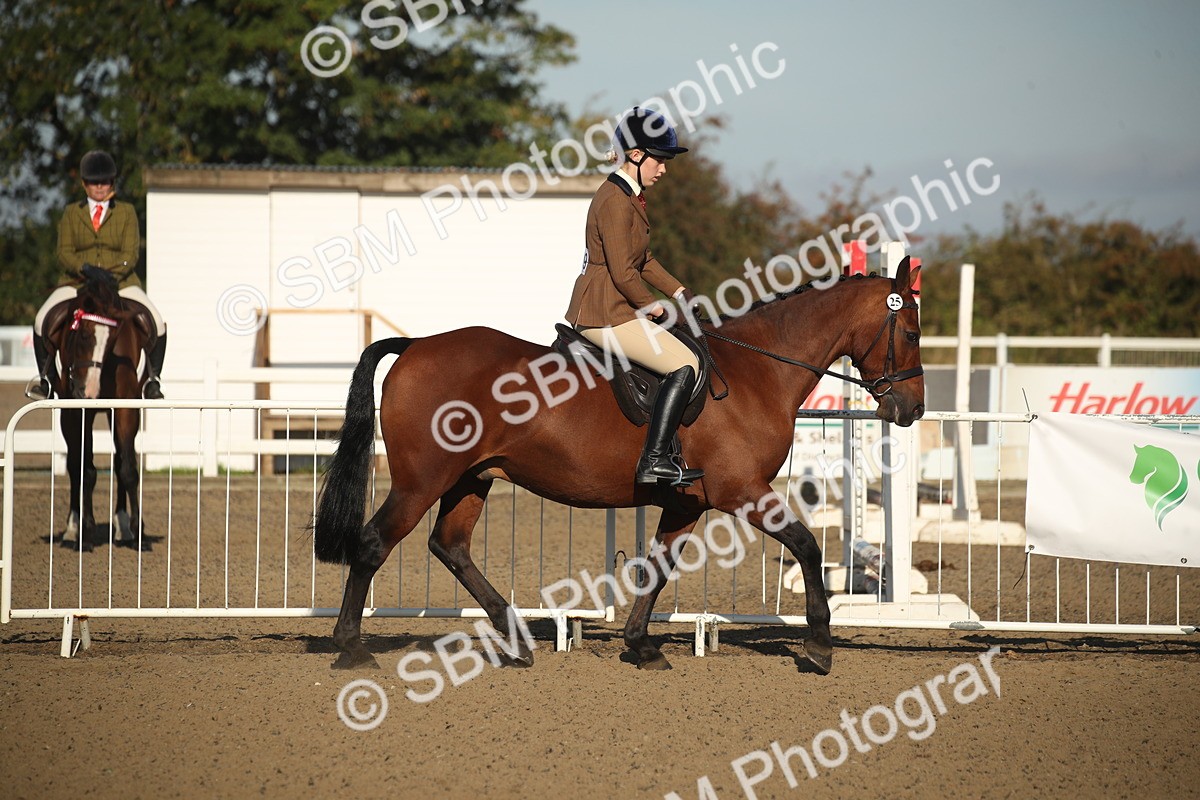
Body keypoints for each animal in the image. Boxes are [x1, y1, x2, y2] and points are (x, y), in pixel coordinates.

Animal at [47, 266, 155, 552]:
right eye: (84, 334)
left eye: (114, 338)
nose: (89, 391)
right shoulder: (77, 411)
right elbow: (85, 469)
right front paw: (86, 531)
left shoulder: (126, 408)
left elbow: (127, 468)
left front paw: (138, 532)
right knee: (75, 464)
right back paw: (73, 528)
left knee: (118, 461)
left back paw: (123, 527)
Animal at [313, 257, 925, 674]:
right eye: (913, 332)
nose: (911, 410)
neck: (755, 373)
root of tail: (416, 345)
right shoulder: (743, 491)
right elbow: (807, 545)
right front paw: (819, 646)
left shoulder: (687, 500)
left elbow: (657, 567)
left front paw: (640, 645)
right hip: (422, 480)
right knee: (374, 544)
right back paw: (351, 648)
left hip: (471, 478)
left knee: (450, 545)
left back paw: (516, 640)